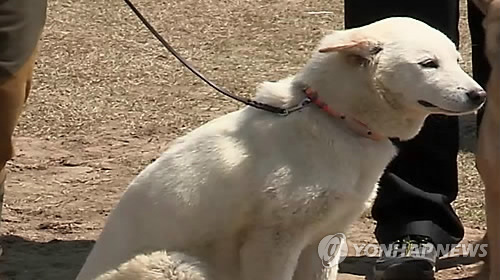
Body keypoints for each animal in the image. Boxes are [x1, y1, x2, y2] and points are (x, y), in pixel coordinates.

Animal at [76, 18, 486, 280]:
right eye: (428, 64)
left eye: (457, 61)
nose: (479, 95)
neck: (334, 120)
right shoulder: (273, 242)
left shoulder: (325, 237)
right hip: (172, 264)